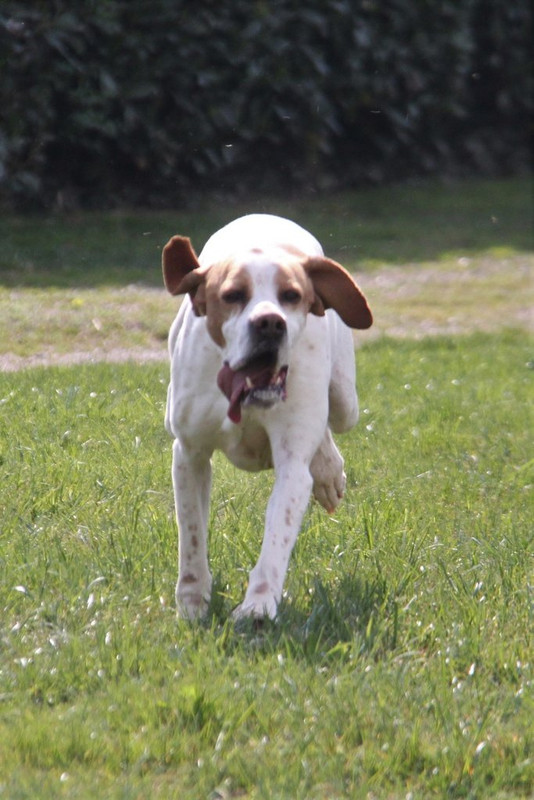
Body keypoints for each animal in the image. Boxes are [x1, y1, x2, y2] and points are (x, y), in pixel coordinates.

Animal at [163, 214, 372, 620]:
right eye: (232, 295)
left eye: (291, 296)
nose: (271, 324)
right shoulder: (189, 454)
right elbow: (191, 534)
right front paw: (193, 602)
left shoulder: (292, 464)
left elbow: (277, 536)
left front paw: (258, 605)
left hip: (346, 401)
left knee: (332, 421)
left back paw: (328, 470)